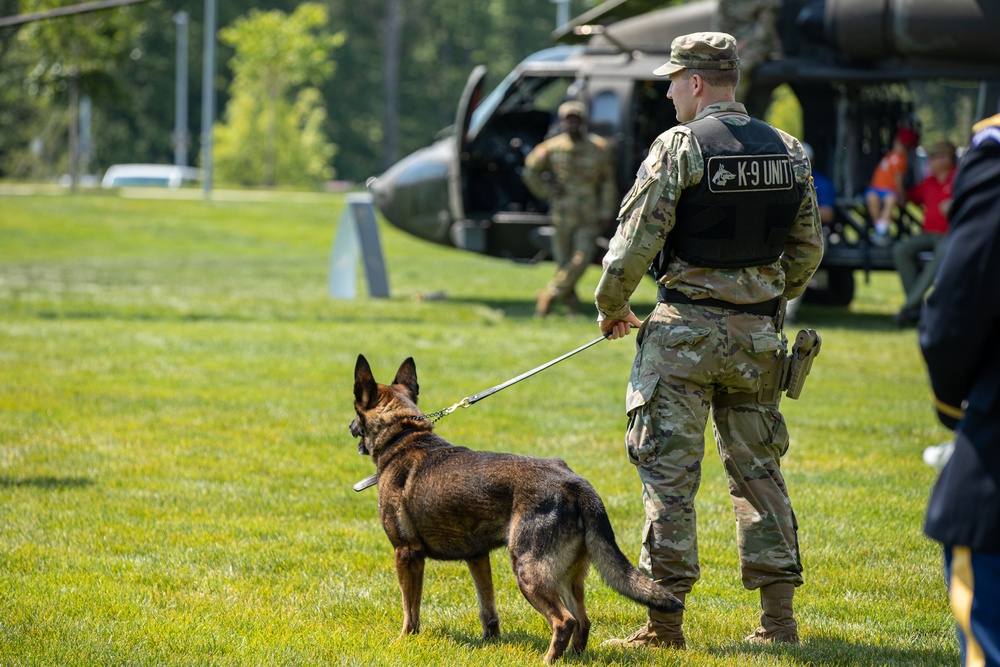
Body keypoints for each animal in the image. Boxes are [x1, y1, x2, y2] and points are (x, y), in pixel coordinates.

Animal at [348, 354, 684, 664]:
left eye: (354, 411)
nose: (350, 427)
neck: (403, 434)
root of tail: (574, 483)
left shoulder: (406, 553)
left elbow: (410, 608)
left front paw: (404, 639)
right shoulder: (477, 557)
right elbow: (488, 608)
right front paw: (490, 640)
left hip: (528, 570)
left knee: (565, 621)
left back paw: (549, 660)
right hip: (567, 576)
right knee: (583, 621)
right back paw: (572, 658)